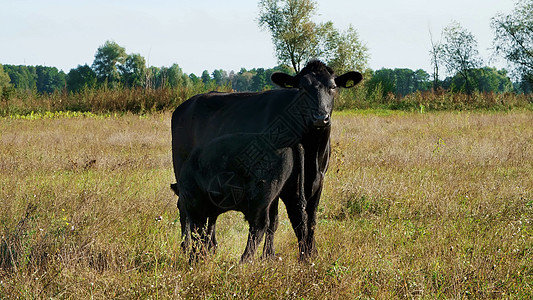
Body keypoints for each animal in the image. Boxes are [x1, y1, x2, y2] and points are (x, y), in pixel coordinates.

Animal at [179, 134, 304, 262]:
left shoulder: (195, 208)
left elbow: (198, 233)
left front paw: (194, 258)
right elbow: (207, 231)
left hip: (258, 200)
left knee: (259, 226)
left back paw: (244, 260)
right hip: (289, 193)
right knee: (298, 217)